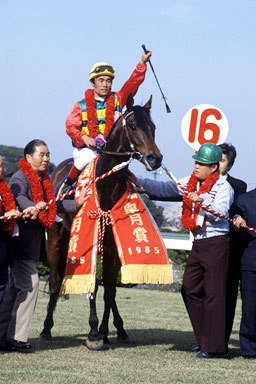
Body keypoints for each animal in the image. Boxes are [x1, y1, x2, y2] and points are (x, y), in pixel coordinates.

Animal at [39, 95, 162, 352]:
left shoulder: (113, 245)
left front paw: (107, 332)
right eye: (133, 126)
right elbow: (93, 286)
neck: (107, 186)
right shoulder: (92, 241)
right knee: (54, 281)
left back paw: (120, 331)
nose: (155, 158)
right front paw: (95, 332)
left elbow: (110, 291)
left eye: (153, 127)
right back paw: (46, 329)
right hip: (55, 236)